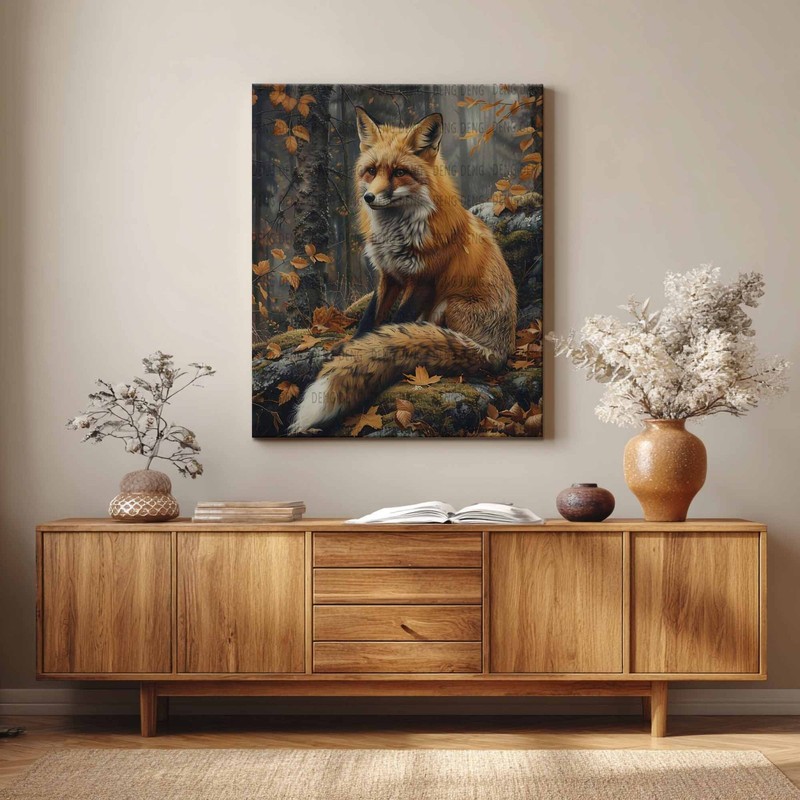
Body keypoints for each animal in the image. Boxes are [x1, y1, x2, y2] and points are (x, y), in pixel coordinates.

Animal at [289, 106, 517, 434]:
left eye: (399, 172)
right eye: (371, 171)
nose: (369, 198)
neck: (396, 234)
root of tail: (499, 352)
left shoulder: (424, 281)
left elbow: (396, 322)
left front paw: (370, 350)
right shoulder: (388, 275)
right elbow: (370, 318)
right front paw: (353, 347)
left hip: (449, 305)